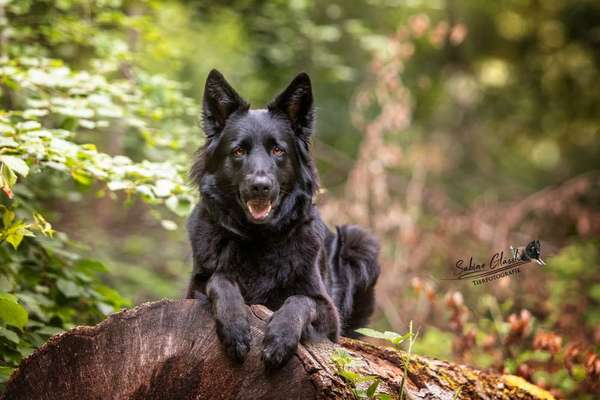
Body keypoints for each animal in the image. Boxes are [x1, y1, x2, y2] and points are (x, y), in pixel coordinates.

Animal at [185, 69, 380, 368]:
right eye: (238, 151)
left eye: (278, 151)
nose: (260, 186)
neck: (258, 238)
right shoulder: (194, 289)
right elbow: (219, 280)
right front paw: (235, 328)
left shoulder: (328, 313)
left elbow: (300, 300)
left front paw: (279, 338)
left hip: (360, 241)